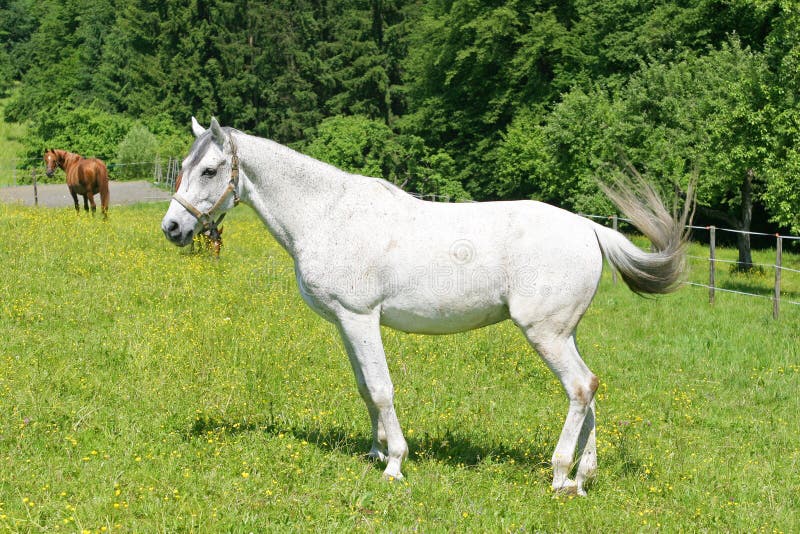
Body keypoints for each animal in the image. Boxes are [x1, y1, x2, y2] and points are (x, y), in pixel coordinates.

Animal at [162, 117, 693, 496]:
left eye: (209, 170)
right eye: (184, 167)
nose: (172, 228)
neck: (328, 214)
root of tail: (589, 228)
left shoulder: (360, 318)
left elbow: (381, 390)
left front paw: (395, 464)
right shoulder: (346, 323)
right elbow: (363, 387)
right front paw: (375, 453)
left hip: (544, 334)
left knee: (581, 388)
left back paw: (559, 476)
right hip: (565, 333)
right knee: (590, 391)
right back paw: (583, 478)